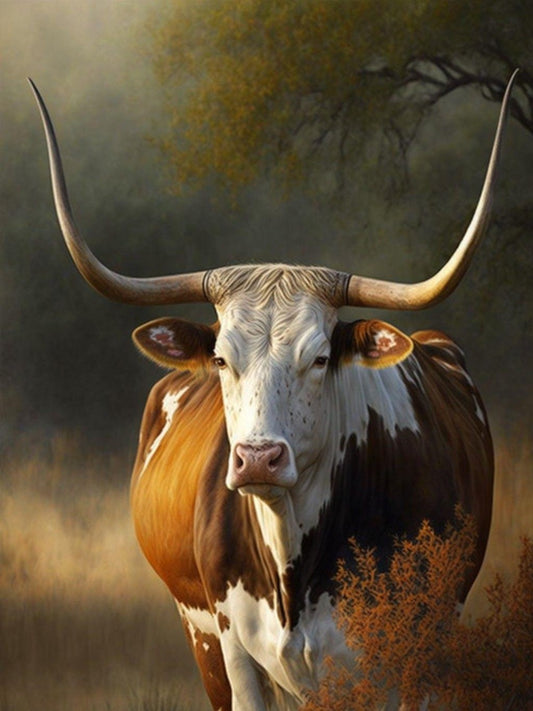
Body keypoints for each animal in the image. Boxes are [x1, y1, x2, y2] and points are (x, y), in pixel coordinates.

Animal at [30, 71, 517, 711]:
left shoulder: (404, 659)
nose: (258, 458)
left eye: (320, 357)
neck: (293, 557)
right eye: (220, 357)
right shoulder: (233, 650)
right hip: (200, 637)